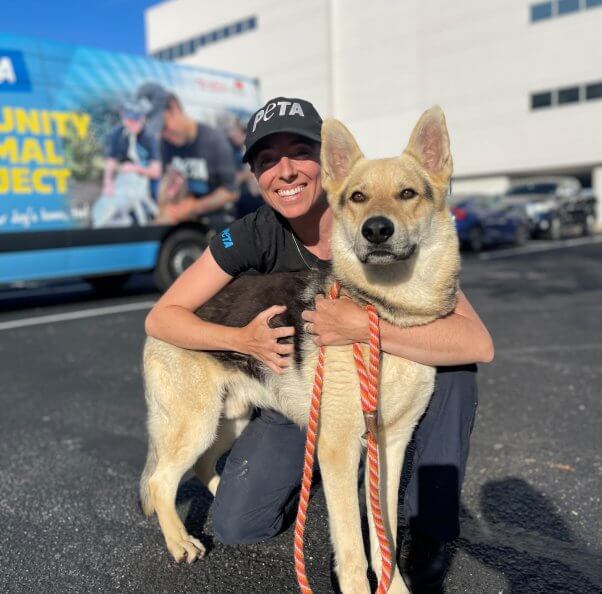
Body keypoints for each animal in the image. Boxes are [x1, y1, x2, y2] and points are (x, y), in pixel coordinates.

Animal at [139, 107, 460, 592]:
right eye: (358, 197)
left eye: (408, 194)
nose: (376, 230)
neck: (385, 315)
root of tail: (162, 307)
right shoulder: (338, 447)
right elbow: (352, 546)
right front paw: (357, 588)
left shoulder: (390, 444)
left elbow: (382, 533)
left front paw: (395, 587)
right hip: (195, 423)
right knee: (161, 480)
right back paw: (181, 543)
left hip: (228, 420)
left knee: (202, 468)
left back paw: (221, 496)